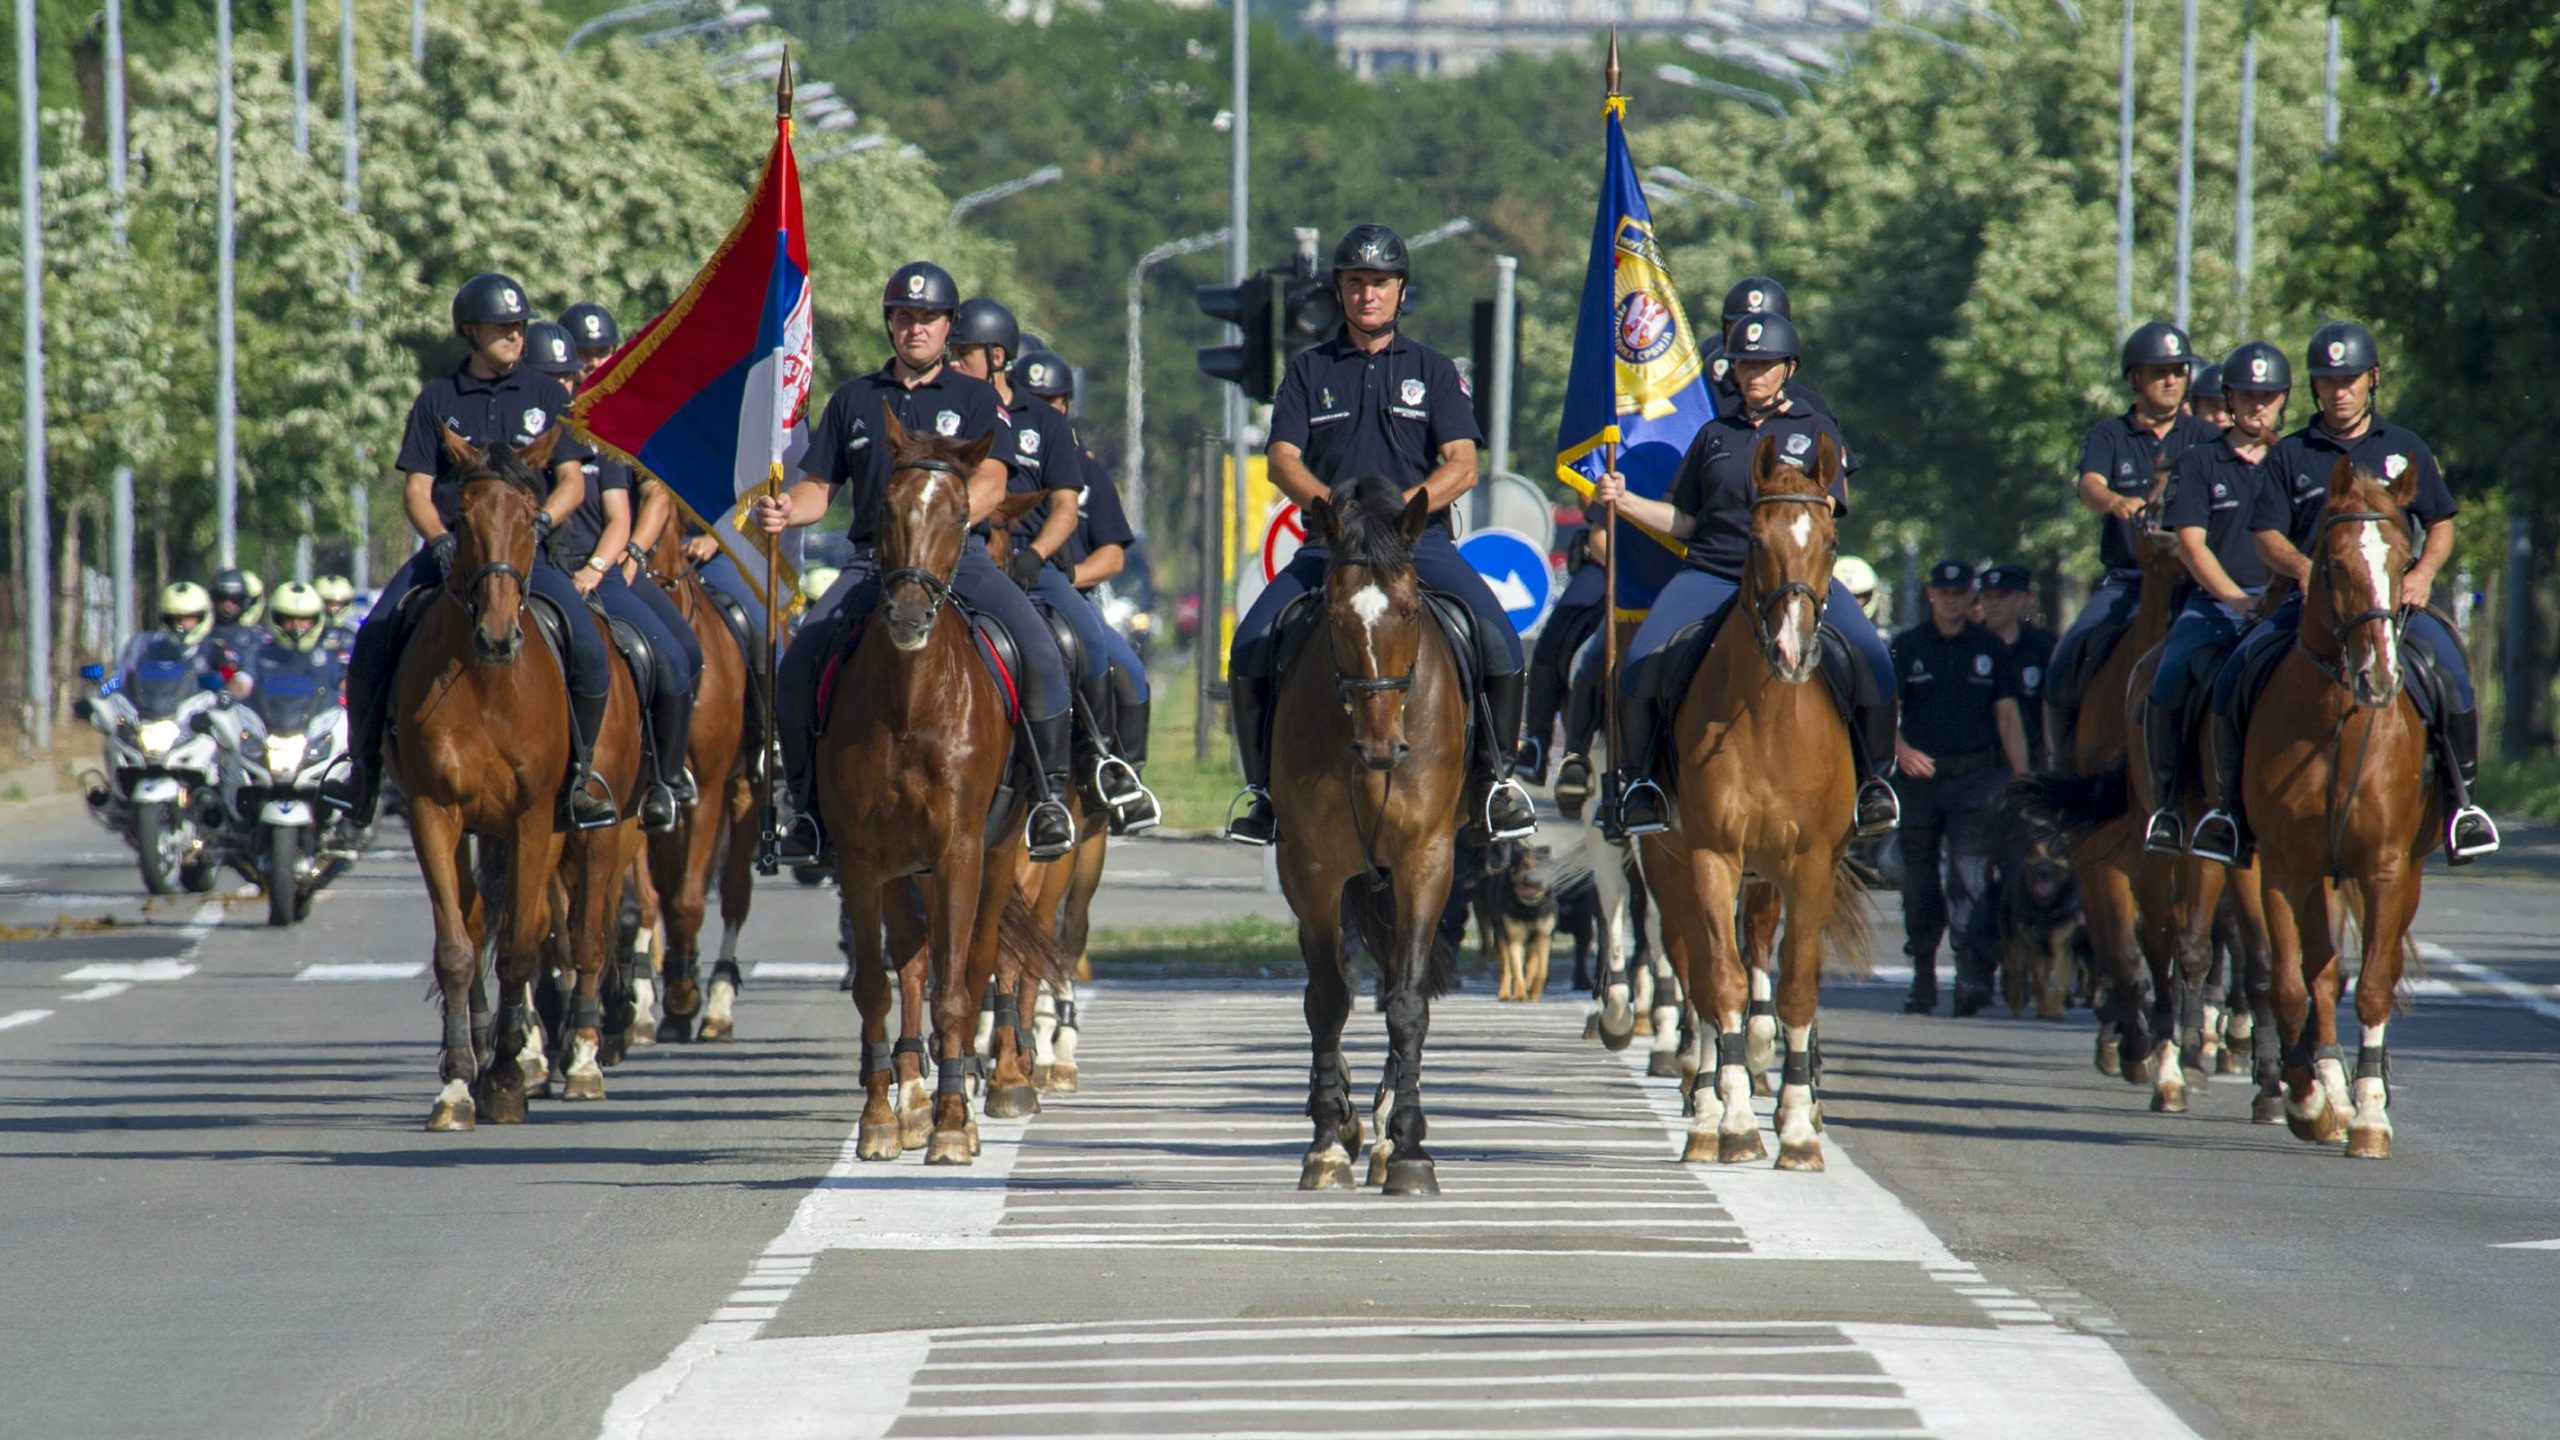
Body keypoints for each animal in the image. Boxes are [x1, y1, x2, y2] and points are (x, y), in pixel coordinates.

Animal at [396, 430, 650, 1127]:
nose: (497, 633)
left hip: (595, 827)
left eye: (533, 522)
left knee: (581, 934)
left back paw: (580, 1056)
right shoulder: (435, 812)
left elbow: (521, 947)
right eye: (460, 520)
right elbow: (459, 947)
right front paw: (461, 1081)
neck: (487, 685)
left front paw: (508, 1079)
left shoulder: (535, 819)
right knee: (495, 923)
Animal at [824, 412, 1054, 1153]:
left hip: (995, 856)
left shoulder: (960, 850)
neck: (911, 702)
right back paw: (913, 1096)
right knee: (916, 962)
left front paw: (954, 1125)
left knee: (975, 964)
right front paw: (880, 1119)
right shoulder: (862, 858)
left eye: (959, 516)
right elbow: (879, 985)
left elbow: (960, 987)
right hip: (907, 869)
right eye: (888, 509)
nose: (906, 614)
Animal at [1274, 468, 1474, 1188]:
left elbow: (1407, 999)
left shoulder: (1425, 861)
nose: (1381, 749)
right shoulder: (1309, 869)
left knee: (1393, 978)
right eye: (1335, 617)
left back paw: (1387, 1128)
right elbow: (1329, 997)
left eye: (1410, 612)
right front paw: (1328, 1139)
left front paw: (1409, 1145)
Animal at [1648, 435, 1873, 1168]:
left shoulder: (1808, 865)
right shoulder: (1710, 857)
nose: (1789, 649)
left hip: (1772, 877)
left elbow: (1797, 986)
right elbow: (1722, 985)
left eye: (1830, 539)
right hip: (1674, 868)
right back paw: (1707, 1103)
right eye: (1753, 537)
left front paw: (1797, 1127)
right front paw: (1733, 1124)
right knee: (1699, 970)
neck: (1771, 718)